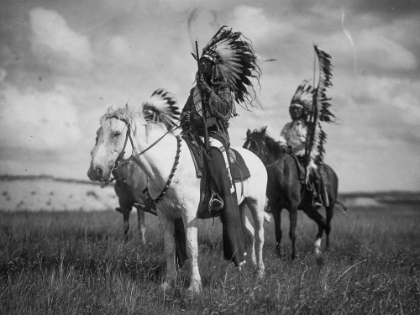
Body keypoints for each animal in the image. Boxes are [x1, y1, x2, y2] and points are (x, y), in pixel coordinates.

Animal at [87, 105, 268, 296]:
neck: (168, 167)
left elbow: (191, 247)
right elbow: (169, 248)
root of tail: (256, 158)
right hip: (240, 206)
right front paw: (168, 283)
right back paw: (245, 268)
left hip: (256, 204)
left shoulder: (189, 214)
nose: (96, 170)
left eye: (116, 133)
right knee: (249, 233)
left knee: (259, 235)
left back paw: (259, 272)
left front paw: (194, 286)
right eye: (98, 133)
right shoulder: (164, 215)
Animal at [243, 128, 344, 260]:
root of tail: (332, 173)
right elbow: (278, 232)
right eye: (244, 146)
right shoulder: (276, 208)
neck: (282, 174)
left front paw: (294, 256)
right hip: (308, 208)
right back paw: (316, 250)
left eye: (256, 147)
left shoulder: (293, 206)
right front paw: (279, 255)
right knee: (321, 222)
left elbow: (292, 232)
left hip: (329, 206)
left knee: (328, 226)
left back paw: (327, 249)